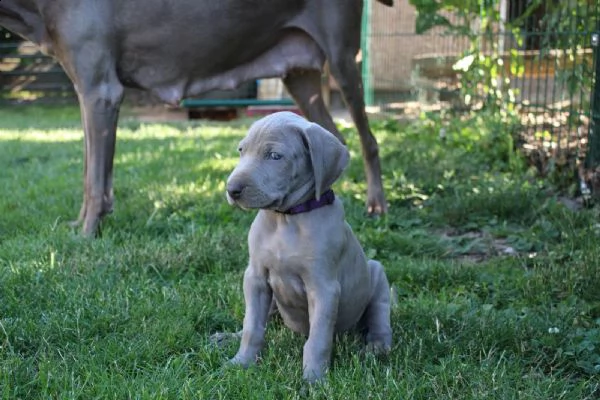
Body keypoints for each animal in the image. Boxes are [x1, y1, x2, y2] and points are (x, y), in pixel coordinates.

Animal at [0, 0, 392, 234]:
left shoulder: (100, 90)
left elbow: (94, 177)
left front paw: (88, 234)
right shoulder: (89, 91)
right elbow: (91, 171)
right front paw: (83, 223)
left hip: (341, 57)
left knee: (368, 140)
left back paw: (376, 206)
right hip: (300, 74)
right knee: (333, 139)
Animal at [225, 111, 394, 382]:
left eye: (275, 156)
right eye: (242, 150)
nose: (232, 190)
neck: (286, 219)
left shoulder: (324, 288)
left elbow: (318, 340)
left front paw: (314, 379)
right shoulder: (256, 278)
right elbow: (252, 326)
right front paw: (241, 362)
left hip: (376, 273)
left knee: (379, 316)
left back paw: (377, 346)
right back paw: (226, 337)